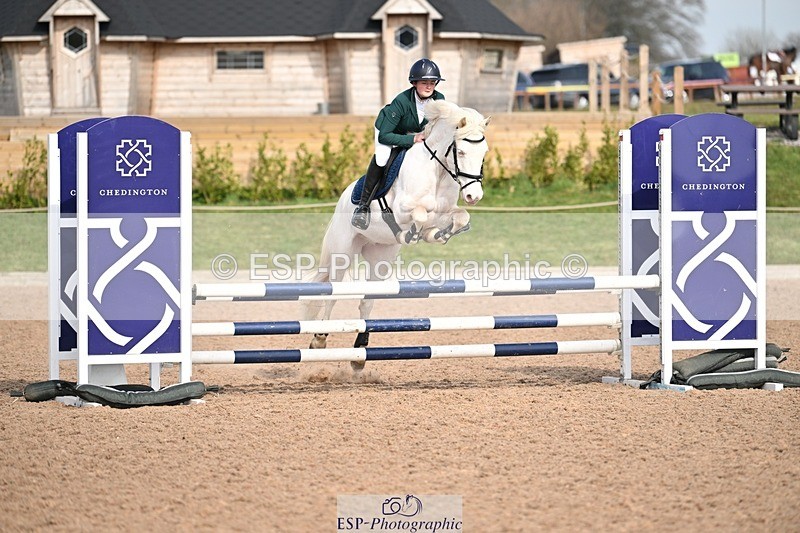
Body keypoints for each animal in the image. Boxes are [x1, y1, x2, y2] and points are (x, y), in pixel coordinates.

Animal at [301, 100, 491, 367]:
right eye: (461, 152)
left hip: (380, 258)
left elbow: (460, 217)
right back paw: (319, 339)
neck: (437, 170)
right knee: (333, 293)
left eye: (484, 153)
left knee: (367, 301)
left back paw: (360, 352)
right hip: (343, 253)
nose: (474, 196)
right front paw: (412, 234)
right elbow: (419, 215)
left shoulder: (444, 212)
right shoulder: (401, 209)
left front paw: (437, 235)